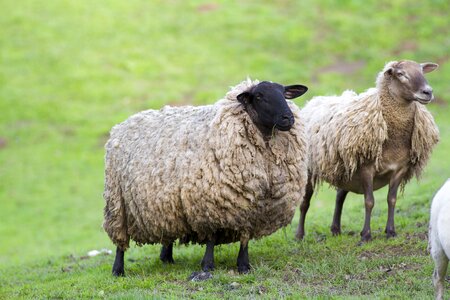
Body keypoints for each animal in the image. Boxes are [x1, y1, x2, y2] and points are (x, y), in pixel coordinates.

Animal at [103, 78, 310, 276]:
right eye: (259, 96)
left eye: (284, 94)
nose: (288, 118)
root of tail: (122, 124)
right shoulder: (209, 201)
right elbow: (211, 237)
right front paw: (208, 265)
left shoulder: (251, 206)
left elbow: (245, 237)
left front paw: (244, 266)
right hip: (117, 203)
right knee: (120, 240)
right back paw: (118, 270)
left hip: (166, 204)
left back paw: (166, 258)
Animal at [296, 60, 440, 241]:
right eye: (400, 74)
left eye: (422, 71)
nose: (428, 92)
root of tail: (314, 101)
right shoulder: (366, 167)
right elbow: (369, 201)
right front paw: (365, 235)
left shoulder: (399, 168)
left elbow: (391, 199)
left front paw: (390, 231)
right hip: (310, 167)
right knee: (305, 202)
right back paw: (299, 235)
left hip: (346, 168)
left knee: (339, 196)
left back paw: (335, 229)